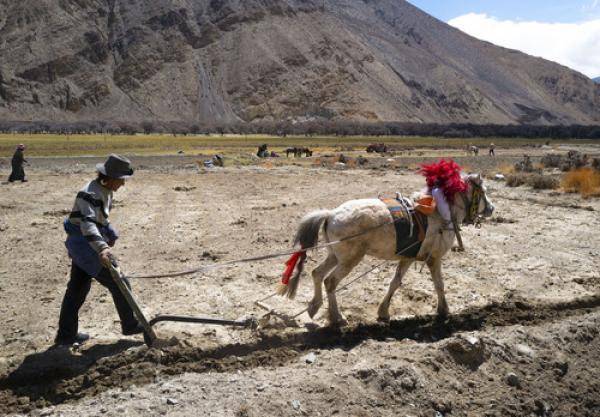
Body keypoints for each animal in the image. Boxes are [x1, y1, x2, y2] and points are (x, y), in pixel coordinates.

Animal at [278, 172, 494, 324]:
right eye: (483, 191)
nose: (492, 209)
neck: (440, 214)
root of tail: (331, 214)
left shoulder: (407, 258)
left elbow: (395, 283)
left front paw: (383, 312)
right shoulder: (434, 259)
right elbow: (439, 284)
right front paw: (444, 310)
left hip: (335, 256)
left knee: (317, 273)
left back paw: (314, 307)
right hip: (350, 260)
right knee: (330, 281)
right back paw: (337, 317)